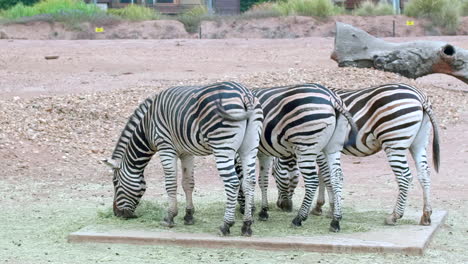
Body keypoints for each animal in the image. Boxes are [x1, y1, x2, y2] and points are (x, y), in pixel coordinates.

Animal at [103, 81, 264, 236]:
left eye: (115, 182)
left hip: (222, 146)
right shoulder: (186, 152)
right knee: (249, 182)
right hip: (249, 147)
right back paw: (247, 225)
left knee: (233, 183)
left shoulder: (165, 147)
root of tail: (245, 94)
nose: (117, 214)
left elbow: (170, 183)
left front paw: (169, 217)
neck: (148, 126)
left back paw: (226, 225)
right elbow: (188, 183)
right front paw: (189, 216)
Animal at [239, 83, 356, 232]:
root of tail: (332, 97)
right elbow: (262, 180)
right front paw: (263, 211)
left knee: (312, 181)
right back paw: (335, 220)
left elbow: (242, 179)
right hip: (333, 147)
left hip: (306, 145)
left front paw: (250, 209)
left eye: (275, 175)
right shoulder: (264, 152)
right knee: (337, 177)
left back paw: (299, 218)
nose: (286, 207)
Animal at [272, 84, 440, 227]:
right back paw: (426, 215)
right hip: (419, 142)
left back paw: (394, 216)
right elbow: (323, 176)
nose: (283, 206)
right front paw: (320, 207)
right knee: (424, 174)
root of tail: (419, 96)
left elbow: (325, 177)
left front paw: (330, 209)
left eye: (273, 174)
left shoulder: (317, 149)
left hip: (394, 141)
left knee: (405, 177)